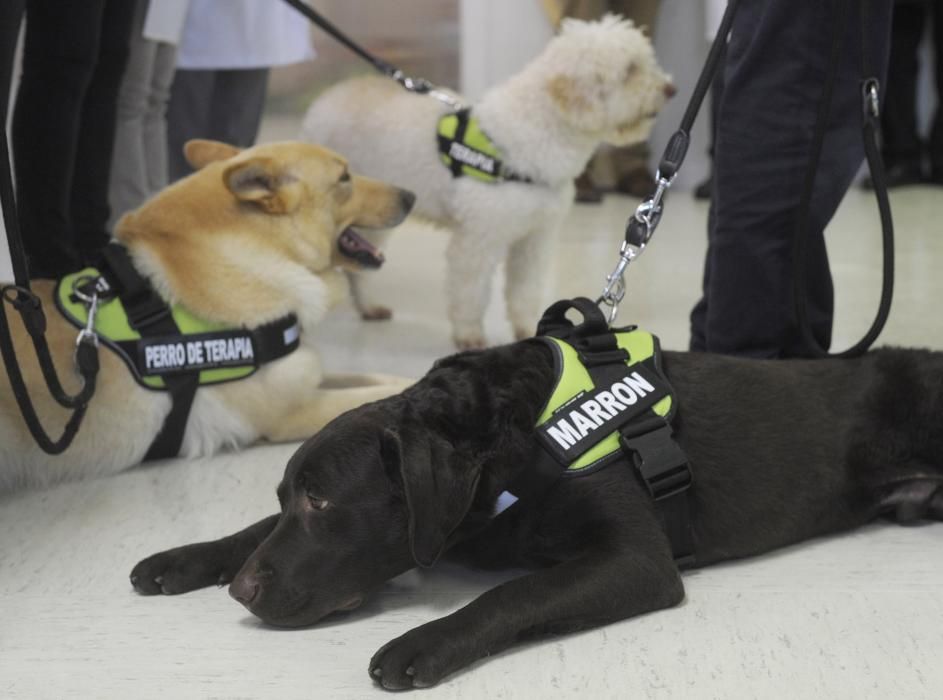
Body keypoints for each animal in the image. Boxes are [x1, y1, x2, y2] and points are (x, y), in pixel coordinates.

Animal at [0, 141, 412, 492]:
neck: (262, 251)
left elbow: (382, 378)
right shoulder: (294, 411)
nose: (411, 196)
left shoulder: (308, 373)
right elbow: (374, 397)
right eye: (344, 177)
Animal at [131, 336, 943, 692]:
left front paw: (423, 641)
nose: (242, 593)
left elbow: (514, 593)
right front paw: (184, 558)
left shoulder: (636, 559)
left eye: (322, 500)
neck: (512, 438)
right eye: (288, 496)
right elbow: (250, 532)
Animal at [302, 17, 672, 350]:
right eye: (630, 70)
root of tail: (324, 100)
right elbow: (471, 292)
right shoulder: (477, 240)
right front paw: (469, 336)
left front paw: (530, 329)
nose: (671, 88)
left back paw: (368, 306)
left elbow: (525, 292)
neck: (536, 129)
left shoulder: (534, 239)